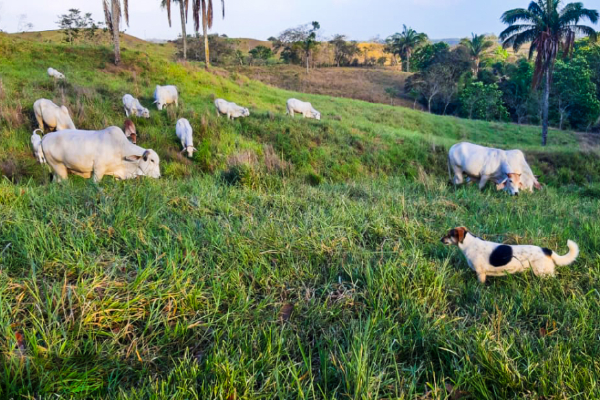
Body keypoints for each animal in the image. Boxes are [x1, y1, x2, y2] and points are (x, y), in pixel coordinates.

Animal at [442, 227, 580, 282]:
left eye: (449, 235)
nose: (440, 240)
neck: (469, 243)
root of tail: (546, 250)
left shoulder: (480, 273)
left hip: (542, 273)